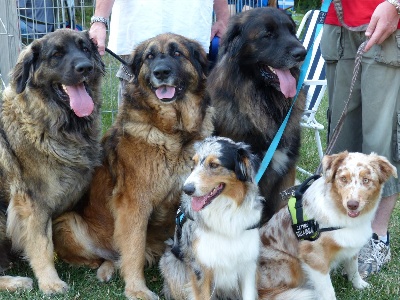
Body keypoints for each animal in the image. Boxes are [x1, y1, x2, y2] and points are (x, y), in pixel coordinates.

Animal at [0, 28, 104, 292]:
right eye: (56, 54)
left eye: (85, 49)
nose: (86, 67)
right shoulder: (32, 202)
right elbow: (42, 245)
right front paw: (50, 282)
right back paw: (17, 281)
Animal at [54, 32, 214, 300]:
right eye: (150, 56)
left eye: (177, 53)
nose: (161, 72)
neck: (173, 132)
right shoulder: (134, 203)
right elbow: (134, 249)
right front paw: (137, 289)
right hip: (67, 222)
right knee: (107, 256)